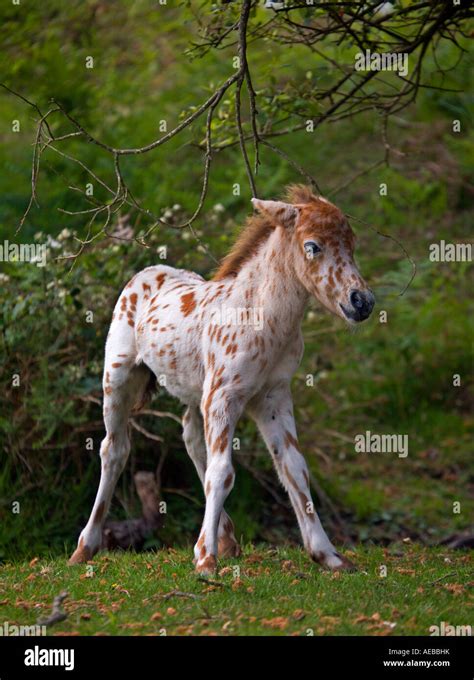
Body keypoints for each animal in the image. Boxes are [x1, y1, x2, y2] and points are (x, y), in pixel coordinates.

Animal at [69, 183, 374, 572]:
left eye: (352, 244)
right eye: (312, 246)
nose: (361, 302)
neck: (263, 320)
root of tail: (147, 272)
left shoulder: (272, 397)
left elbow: (294, 467)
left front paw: (328, 555)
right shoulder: (223, 395)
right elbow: (224, 472)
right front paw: (205, 558)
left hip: (194, 390)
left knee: (190, 438)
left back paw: (227, 539)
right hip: (118, 375)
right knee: (114, 449)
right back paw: (85, 547)